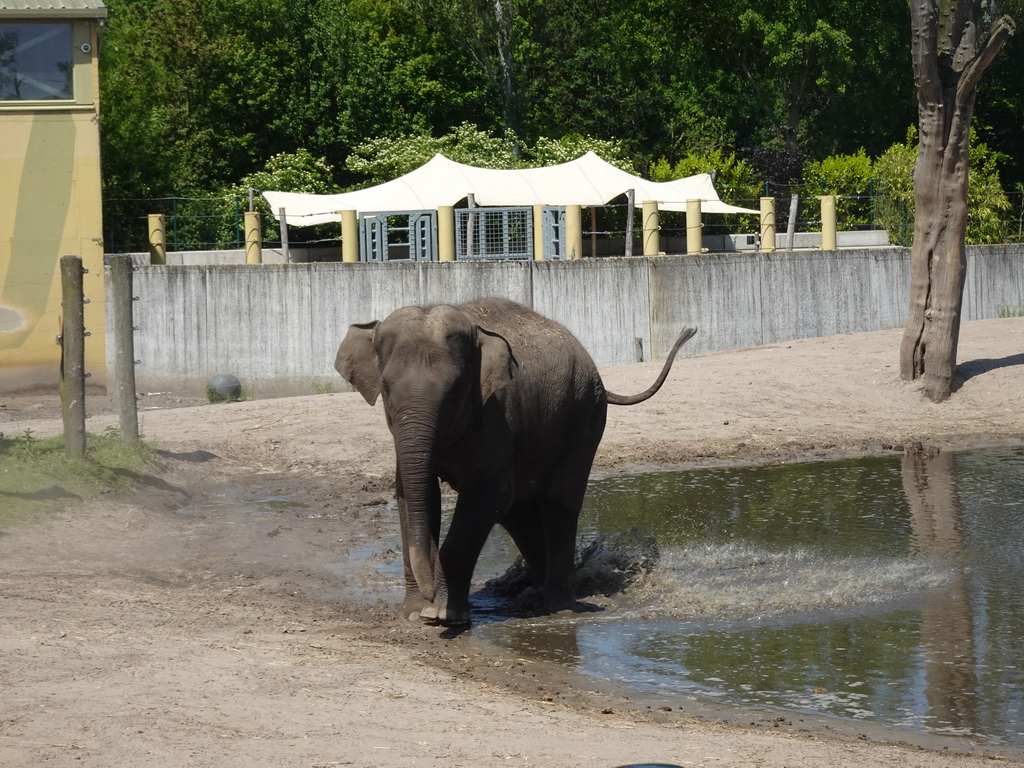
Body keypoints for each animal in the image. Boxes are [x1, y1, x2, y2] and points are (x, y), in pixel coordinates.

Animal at [335, 296, 696, 626]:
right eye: (385, 387)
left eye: (455, 389)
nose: (428, 597)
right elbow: (414, 497)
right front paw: (414, 614)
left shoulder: (495, 415)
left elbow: (486, 495)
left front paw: (443, 614)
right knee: (518, 510)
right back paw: (540, 589)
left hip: (584, 417)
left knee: (557, 503)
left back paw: (557, 604)